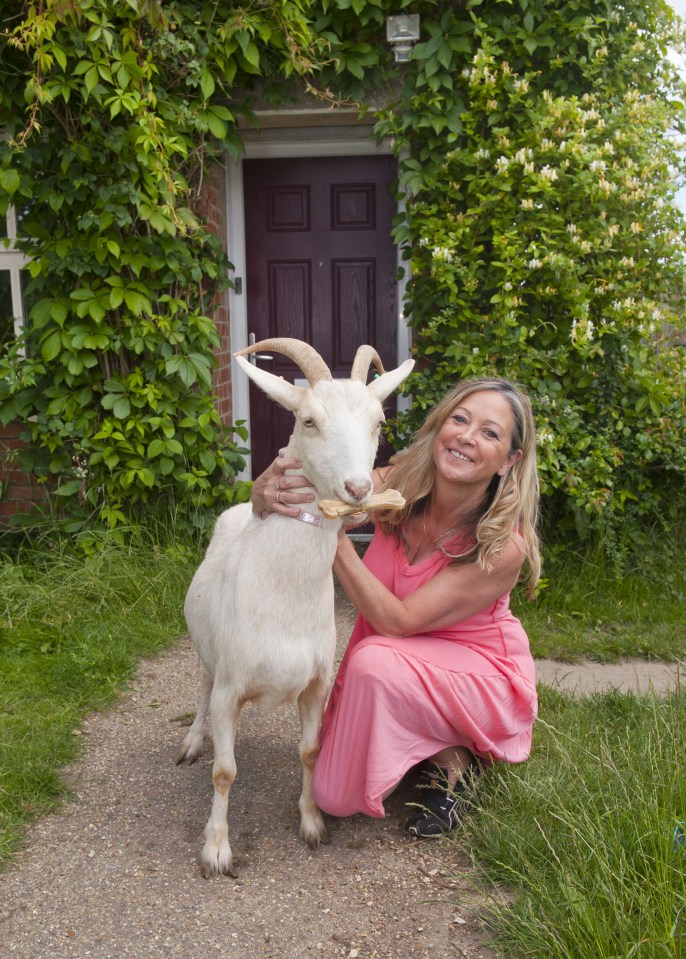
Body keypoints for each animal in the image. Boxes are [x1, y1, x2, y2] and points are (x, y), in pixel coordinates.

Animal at [177, 338, 414, 876]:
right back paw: (193, 741)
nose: (358, 489)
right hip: (209, 656)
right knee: (201, 688)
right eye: (308, 420)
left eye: (379, 423)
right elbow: (225, 771)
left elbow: (309, 753)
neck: (283, 598)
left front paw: (311, 824)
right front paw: (216, 849)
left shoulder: (315, 685)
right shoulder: (231, 686)